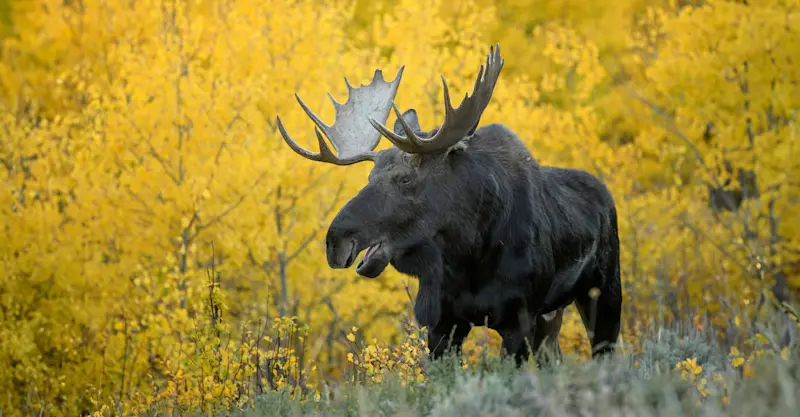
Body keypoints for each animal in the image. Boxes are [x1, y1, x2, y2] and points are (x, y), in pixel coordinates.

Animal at [275, 44, 622, 365]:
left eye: (405, 179)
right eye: (370, 176)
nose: (335, 241)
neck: (468, 254)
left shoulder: (519, 319)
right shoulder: (441, 322)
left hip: (604, 292)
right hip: (553, 314)